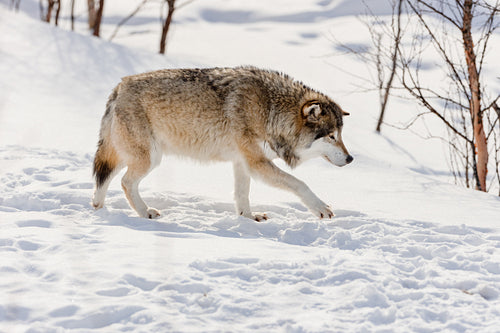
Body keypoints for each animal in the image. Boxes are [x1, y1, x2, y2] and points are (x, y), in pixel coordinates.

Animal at [93, 66, 352, 219]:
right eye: (331, 136)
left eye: (341, 134)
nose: (350, 159)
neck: (270, 111)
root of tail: (119, 87)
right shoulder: (257, 163)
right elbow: (300, 184)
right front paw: (321, 208)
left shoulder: (242, 162)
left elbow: (242, 194)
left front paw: (249, 219)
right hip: (149, 159)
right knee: (125, 182)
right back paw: (145, 212)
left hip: (129, 155)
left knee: (103, 179)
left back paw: (98, 209)